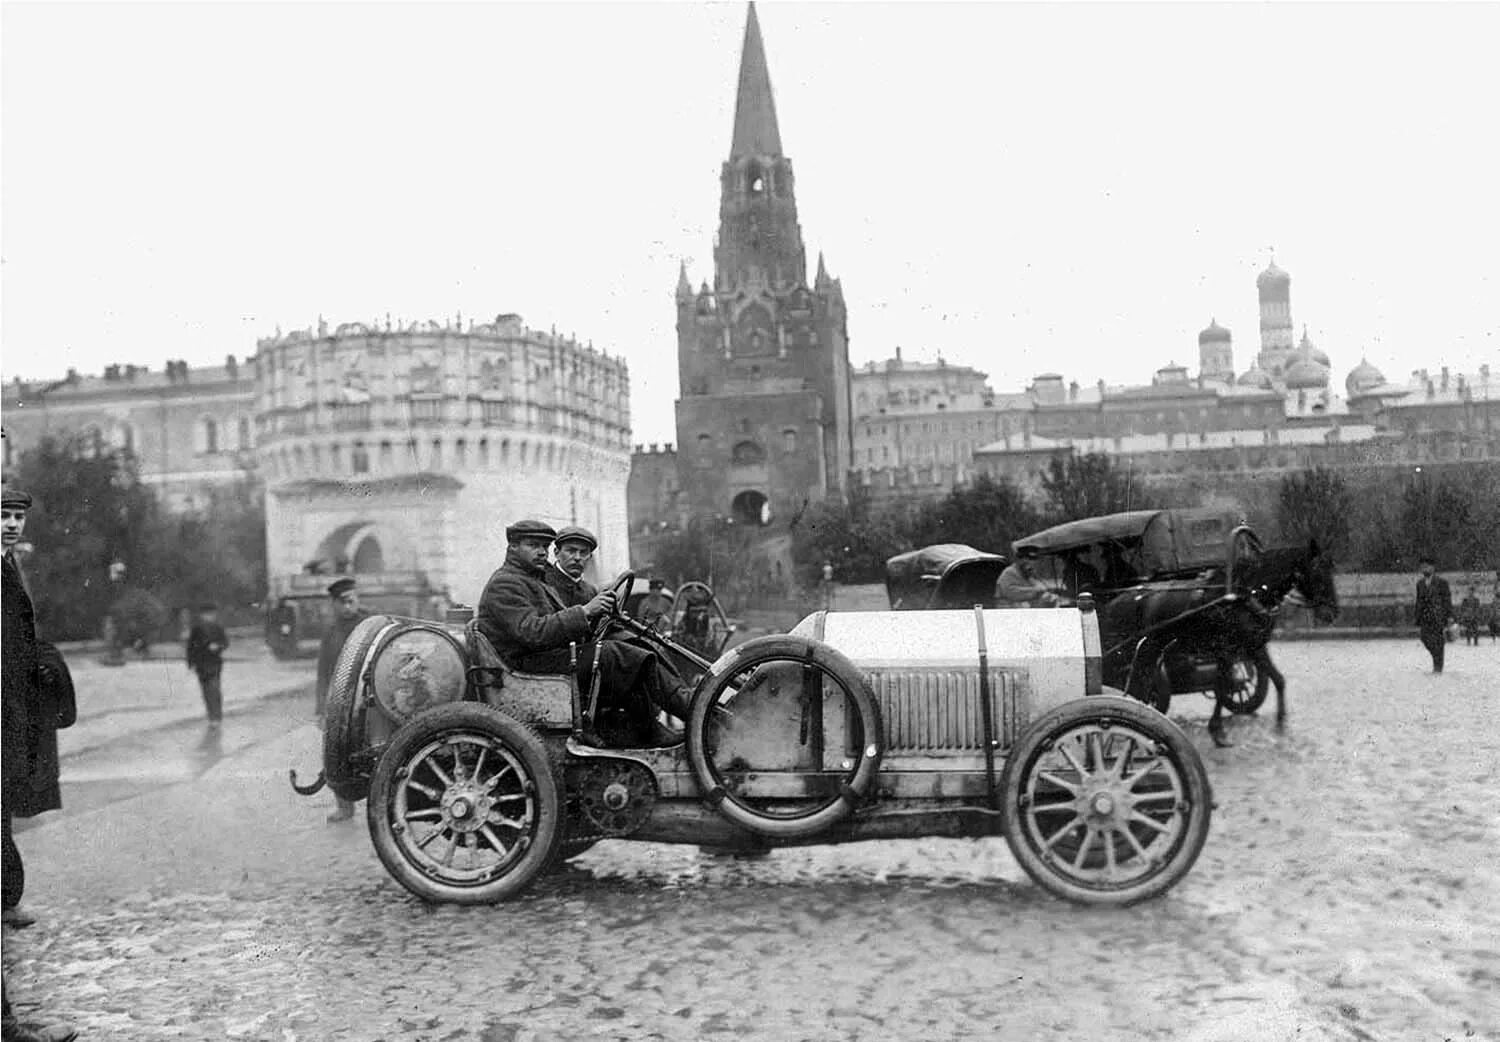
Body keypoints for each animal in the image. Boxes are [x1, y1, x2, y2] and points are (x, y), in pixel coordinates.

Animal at [1098, 536, 1344, 749]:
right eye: (1317, 572)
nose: (1331, 613)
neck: (1247, 594)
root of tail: (1116, 601)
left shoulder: (1253, 647)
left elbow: (1277, 680)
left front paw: (1281, 725)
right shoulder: (1227, 649)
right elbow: (1221, 683)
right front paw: (1217, 731)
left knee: (1141, 685)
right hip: (1140, 651)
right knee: (1136, 684)